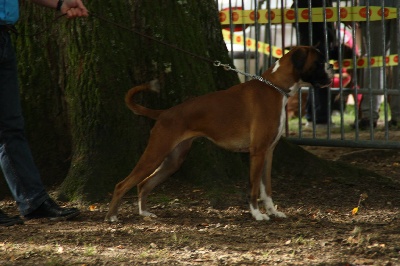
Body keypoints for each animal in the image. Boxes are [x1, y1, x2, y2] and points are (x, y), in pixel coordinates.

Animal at [104, 46, 332, 222]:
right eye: (319, 61)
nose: (331, 67)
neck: (275, 87)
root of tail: (165, 113)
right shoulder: (257, 152)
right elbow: (254, 188)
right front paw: (257, 215)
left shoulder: (268, 153)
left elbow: (267, 189)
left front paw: (274, 212)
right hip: (154, 154)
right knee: (122, 184)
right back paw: (112, 216)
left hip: (173, 161)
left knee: (143, 184)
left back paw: (144, 213)